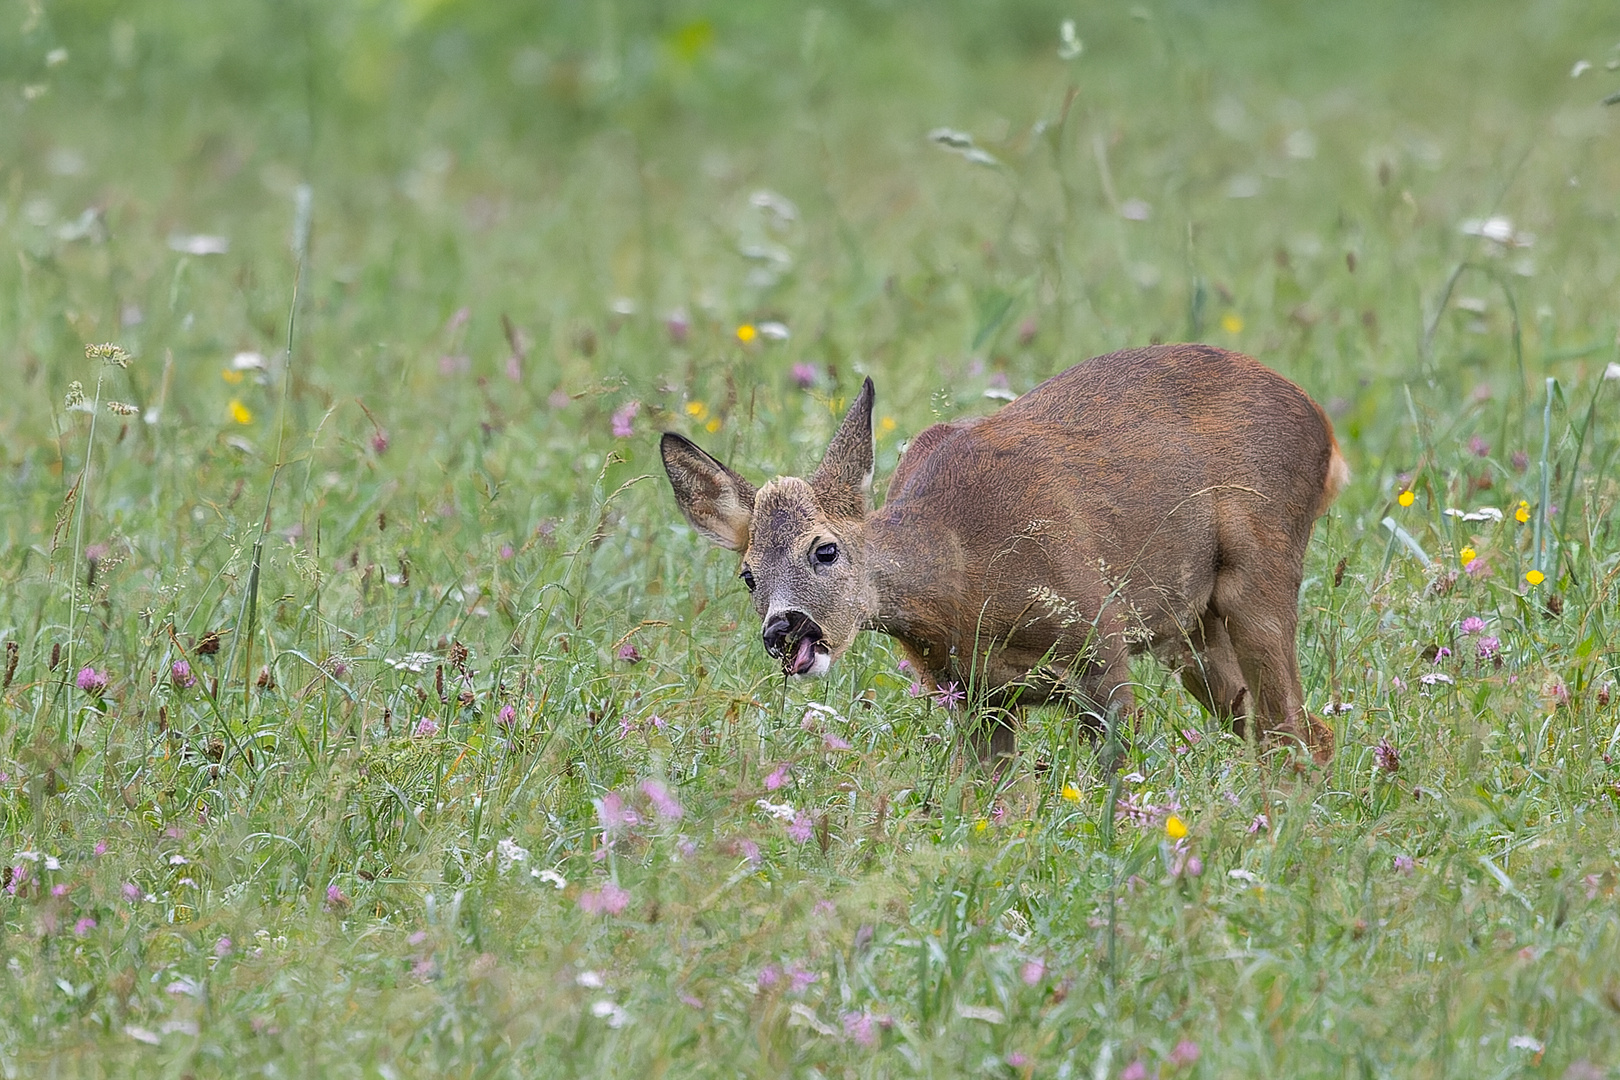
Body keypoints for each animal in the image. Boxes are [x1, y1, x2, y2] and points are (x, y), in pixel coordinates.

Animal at [664, 344, 1347, 761]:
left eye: (825, 549)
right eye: (748, 576)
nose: (783, 628)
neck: (964, 581)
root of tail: (1324, 426)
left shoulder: (1100, 640)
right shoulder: (974, 697)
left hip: (1261, 564)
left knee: (1292, 730)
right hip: (1190, 627)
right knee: (1296, 729)